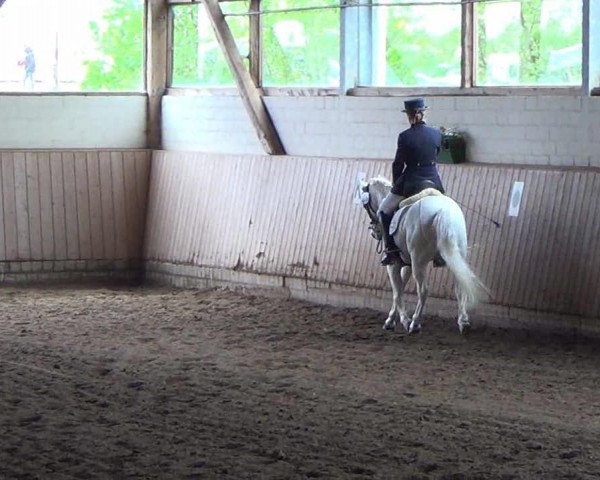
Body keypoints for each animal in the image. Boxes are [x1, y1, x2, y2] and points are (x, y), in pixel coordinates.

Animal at [358, 175, 490, 334]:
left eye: (366, 206)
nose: (373, 232)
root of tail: (443, 211)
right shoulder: (407, 264)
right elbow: (401, 287)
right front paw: (392, 320)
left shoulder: (394, 265)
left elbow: (397, 291)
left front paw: (402, 320)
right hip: (456, 256)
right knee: (460, 285)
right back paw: (463, 322)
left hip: (419, 261)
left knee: (423, 290)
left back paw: (415, 323)